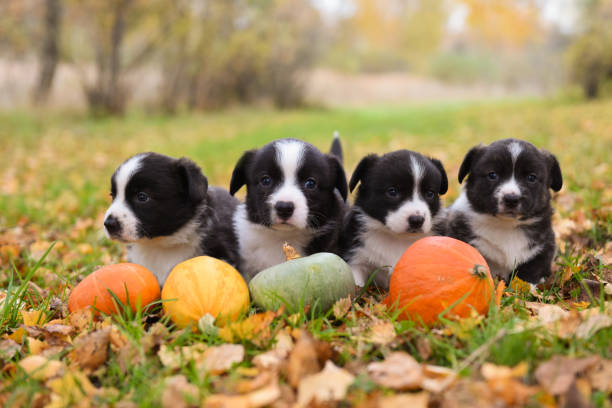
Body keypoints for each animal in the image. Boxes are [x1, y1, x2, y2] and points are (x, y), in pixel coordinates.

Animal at [340, 150, 450, 286]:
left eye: (430, 193)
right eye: (392, 191)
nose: (417, 220)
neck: (397, 238)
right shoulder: (356, 260)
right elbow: (355, 283)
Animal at [440, 139, 564, 286]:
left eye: (532, 178)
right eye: (492, 175)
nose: (511, 199)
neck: (506, 225)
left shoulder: (543, 247)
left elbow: (530, 272)